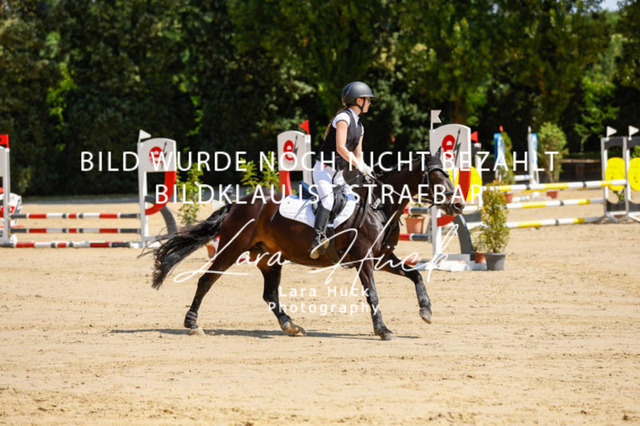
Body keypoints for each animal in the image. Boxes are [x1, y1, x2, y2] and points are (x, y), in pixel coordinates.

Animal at [151, 153, 464, 340]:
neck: (380, 206)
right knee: (207, 280)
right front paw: (383, 329)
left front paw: (426, 311)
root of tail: (240, 203)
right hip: (232, 248)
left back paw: (290, 325)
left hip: (270, 258)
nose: (459, 205)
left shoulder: (382, 258)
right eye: (438, 177)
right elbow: (373, 295)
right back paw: (192, 323)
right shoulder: (364, 262)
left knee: (269, 294)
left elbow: (416, 274)